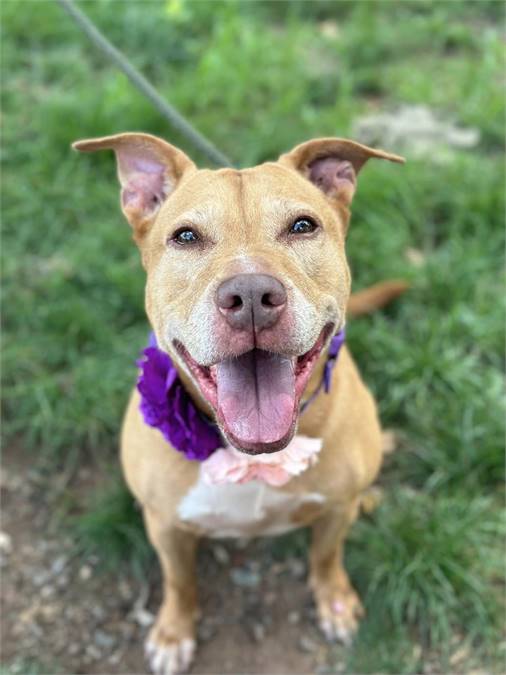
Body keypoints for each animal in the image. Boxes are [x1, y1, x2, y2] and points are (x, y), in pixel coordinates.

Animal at [73, 133, 404, 675]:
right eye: (185, 236)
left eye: (302, 226)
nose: (251, 295)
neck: (253, 455)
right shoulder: (165, 525)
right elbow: (179, 580)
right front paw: (173, 632)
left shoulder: (338, 509)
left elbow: (326, 557)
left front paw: (334, 603)